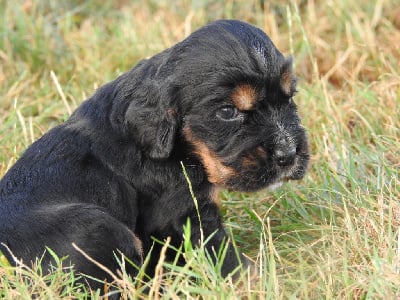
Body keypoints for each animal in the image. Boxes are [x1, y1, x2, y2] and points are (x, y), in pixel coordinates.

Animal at [0, 19, 310, 290]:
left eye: (289, 98)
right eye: (227, 112)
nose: (288, 154)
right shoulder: (184, 211)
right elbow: (221, 255)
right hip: (97, 228)